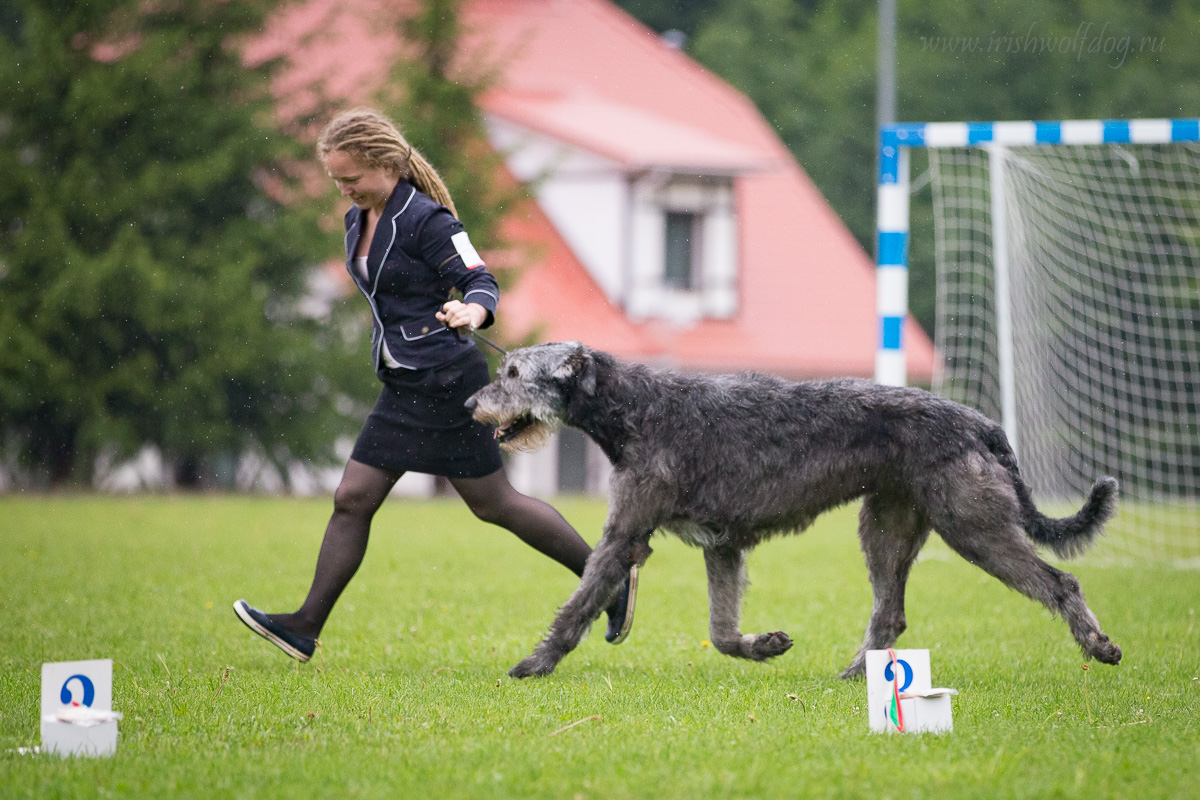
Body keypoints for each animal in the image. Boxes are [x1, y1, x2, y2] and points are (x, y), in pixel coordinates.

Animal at [460, 340, 1123, 681]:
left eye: (514, 372)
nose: (470, 405)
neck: (636, 406)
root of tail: (980, 422)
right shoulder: (721, 544)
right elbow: (721, 631)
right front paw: (764, 645)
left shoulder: (627, 534)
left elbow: (578, 604)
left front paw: (535, 662)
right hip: (886, 526)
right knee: (890, 614)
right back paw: (858, 675)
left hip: (973, 525)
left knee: (1060, 581)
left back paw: (1098, 644)